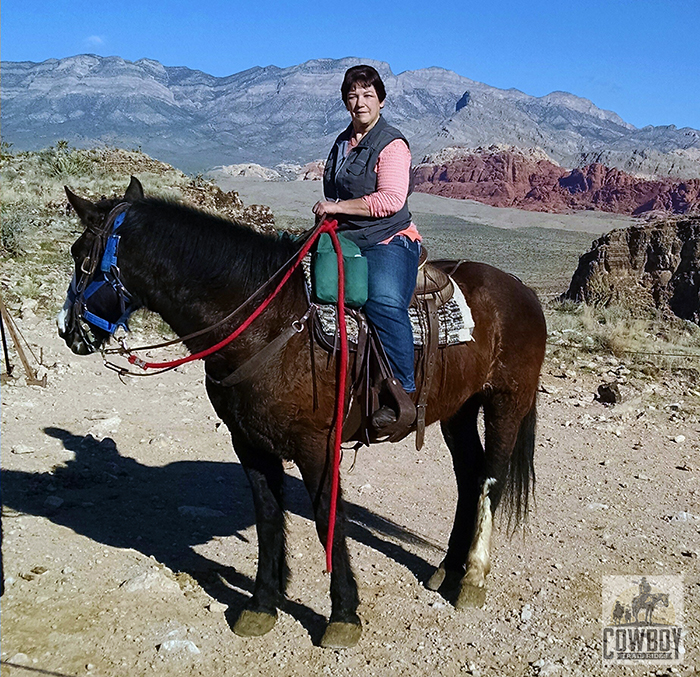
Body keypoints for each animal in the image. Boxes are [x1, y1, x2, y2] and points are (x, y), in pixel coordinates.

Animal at [58, 177, 548, 648]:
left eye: (80, 255)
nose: (67, 330)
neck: (269, 321)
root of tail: (522, 289)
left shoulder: (316, 444)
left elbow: (328, 517)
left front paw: (343, 616)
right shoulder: (249, 442)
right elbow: (269, 517)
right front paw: (261, 605)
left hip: (506, 402)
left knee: (490, 478)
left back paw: (473, 579)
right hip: (457, 411)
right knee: (468, 478)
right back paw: (447, 569)